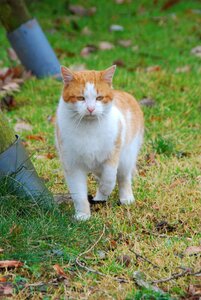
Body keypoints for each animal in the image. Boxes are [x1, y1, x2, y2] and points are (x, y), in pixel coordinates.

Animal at [55, 65, 143, 220]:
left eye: (99, 98)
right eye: (81, 98)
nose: (91, 109)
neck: (88, 128)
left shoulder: (112, 155)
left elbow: (109, 178)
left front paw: (105, 189)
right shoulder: (72, 166)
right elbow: (79, 194)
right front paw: (83, 215)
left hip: (127, 157)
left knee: (123, 177)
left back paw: (125, 197)